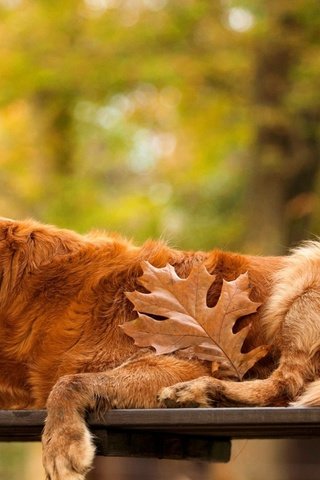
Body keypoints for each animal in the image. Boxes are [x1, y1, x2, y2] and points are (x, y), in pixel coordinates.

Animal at [0, 218, 320, 480]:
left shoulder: (181, 361)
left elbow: (68, 383)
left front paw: (62, 444)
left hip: (302, 273)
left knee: (285, 385)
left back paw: (198, 390)